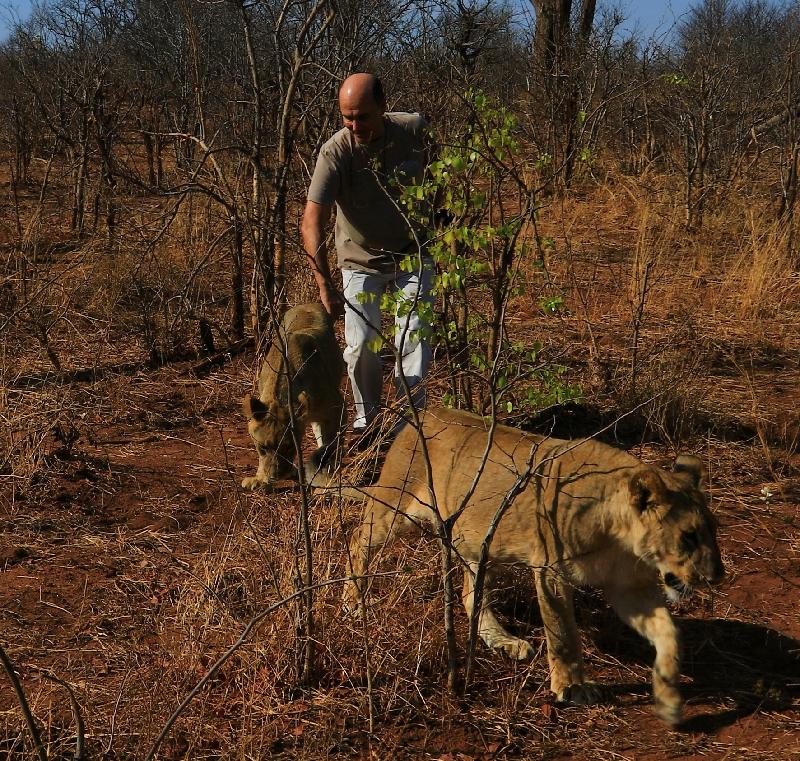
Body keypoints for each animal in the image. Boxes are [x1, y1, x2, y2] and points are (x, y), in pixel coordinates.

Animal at [242, 303, 345, 490]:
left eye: (290, 447)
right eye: (262, 448)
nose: (277, 475)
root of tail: (307, 304)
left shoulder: (337, 408)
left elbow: (332, 445)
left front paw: (327, 475)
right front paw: (261, 479)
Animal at [343, 407, 724, 725]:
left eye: (713, 530)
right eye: (689, 536)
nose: (716, 577)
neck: (620, 540)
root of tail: (424, 412)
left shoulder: (629, 589)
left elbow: (668, 633)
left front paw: (669, 698)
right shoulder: (551, 570)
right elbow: (562, 633)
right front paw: (572, 688)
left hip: (483, 543)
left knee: (469, 593)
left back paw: (503, 641)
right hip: (396, 509)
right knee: (357, 540)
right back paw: (352, 603)